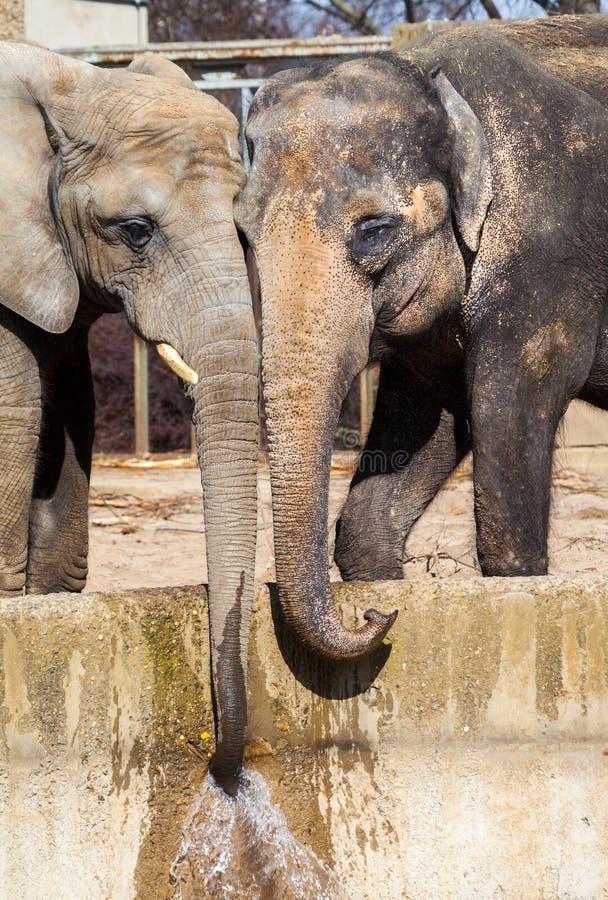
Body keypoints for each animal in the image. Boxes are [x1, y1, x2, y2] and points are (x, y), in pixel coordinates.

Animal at [236, 14, 608, 660]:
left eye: (374, 229)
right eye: (242, 231)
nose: (374, 615)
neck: (429, 73)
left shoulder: (548, 258)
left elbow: (507, 429)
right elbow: (424, 427)